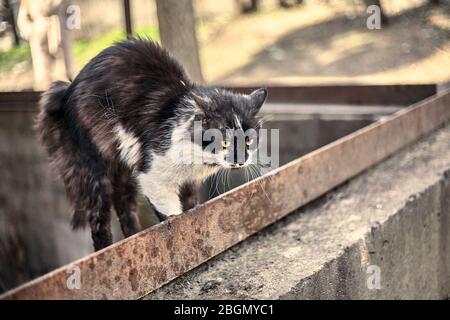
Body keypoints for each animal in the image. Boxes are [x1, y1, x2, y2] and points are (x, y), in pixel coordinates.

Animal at [37, 38, 268, 251]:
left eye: (248, 139)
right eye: (225, 141)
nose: (241, 160)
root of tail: (66, 89)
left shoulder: (189, 182)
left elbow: (191, 205)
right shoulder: (152, 173)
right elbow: (172, 212)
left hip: (123, 168)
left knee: (125, 208)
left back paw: (132, 239)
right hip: (94, 171)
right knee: (99, 221)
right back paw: (107, 250)